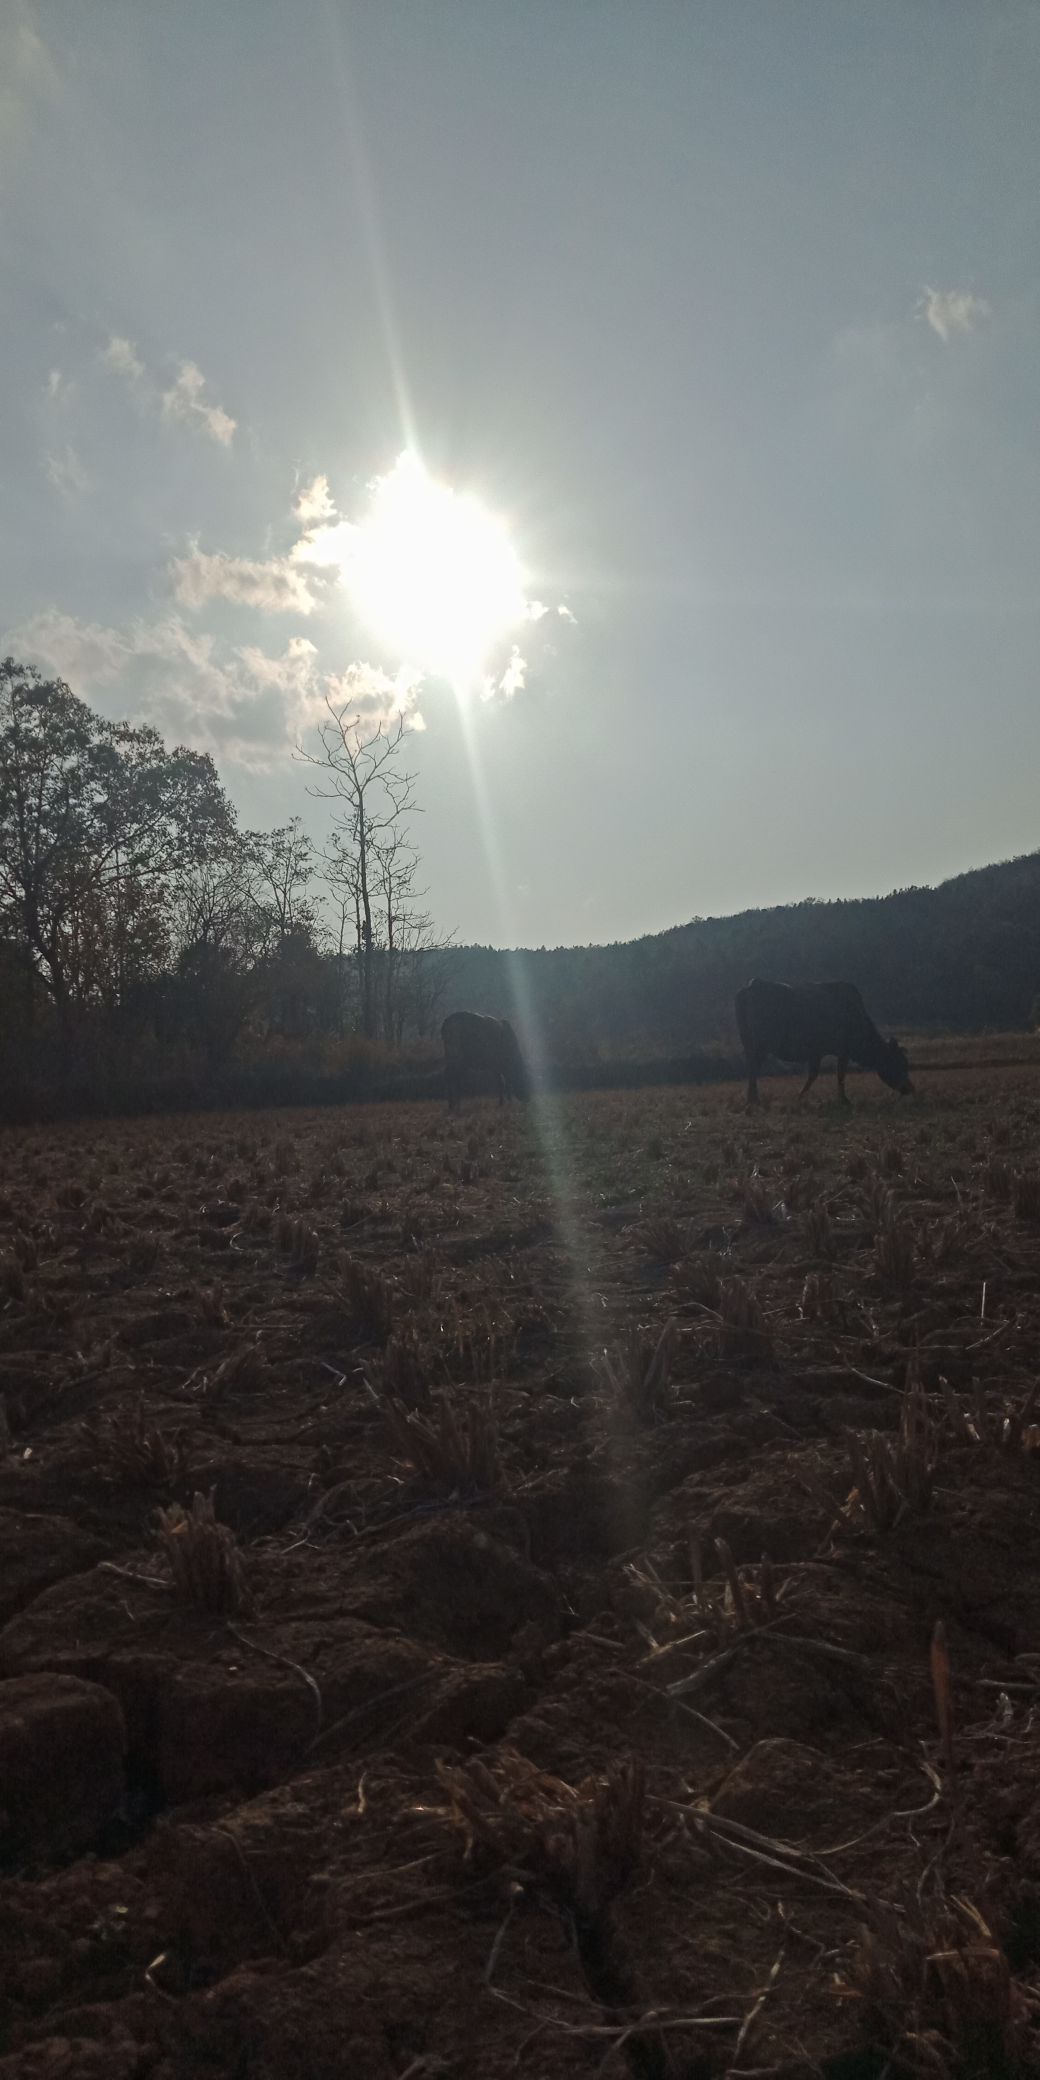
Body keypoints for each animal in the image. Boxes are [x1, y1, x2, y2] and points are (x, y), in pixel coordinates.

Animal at [736, 981, 915, 1114]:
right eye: (899, 1063)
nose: (910, 1088)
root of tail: (750, 986)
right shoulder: (842, 1052)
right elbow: (839, 1075)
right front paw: (843, 1100)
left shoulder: (816, 1053)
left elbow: (814, 1076)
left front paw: (801, 1097)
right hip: (760, 1045)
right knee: (753, 1069)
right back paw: (754, 1100)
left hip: (749, 1044)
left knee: (751, 1068)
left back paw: (751, 1099)